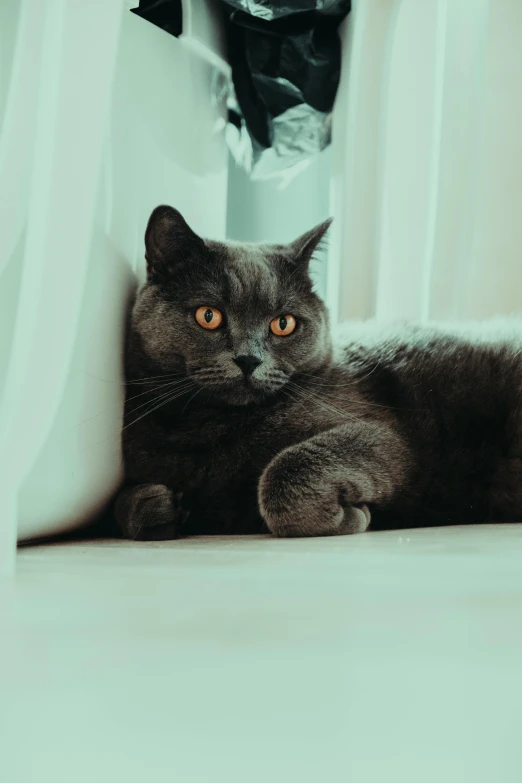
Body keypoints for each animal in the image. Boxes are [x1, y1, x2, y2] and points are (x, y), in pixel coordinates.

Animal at [116, 205, 520, 544]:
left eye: (283, 323)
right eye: (209, 315)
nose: (249, 359)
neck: (212, 430)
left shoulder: (381, 434)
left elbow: (283, 472)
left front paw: (354, 516)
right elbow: (129, 507)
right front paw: (160, 504)